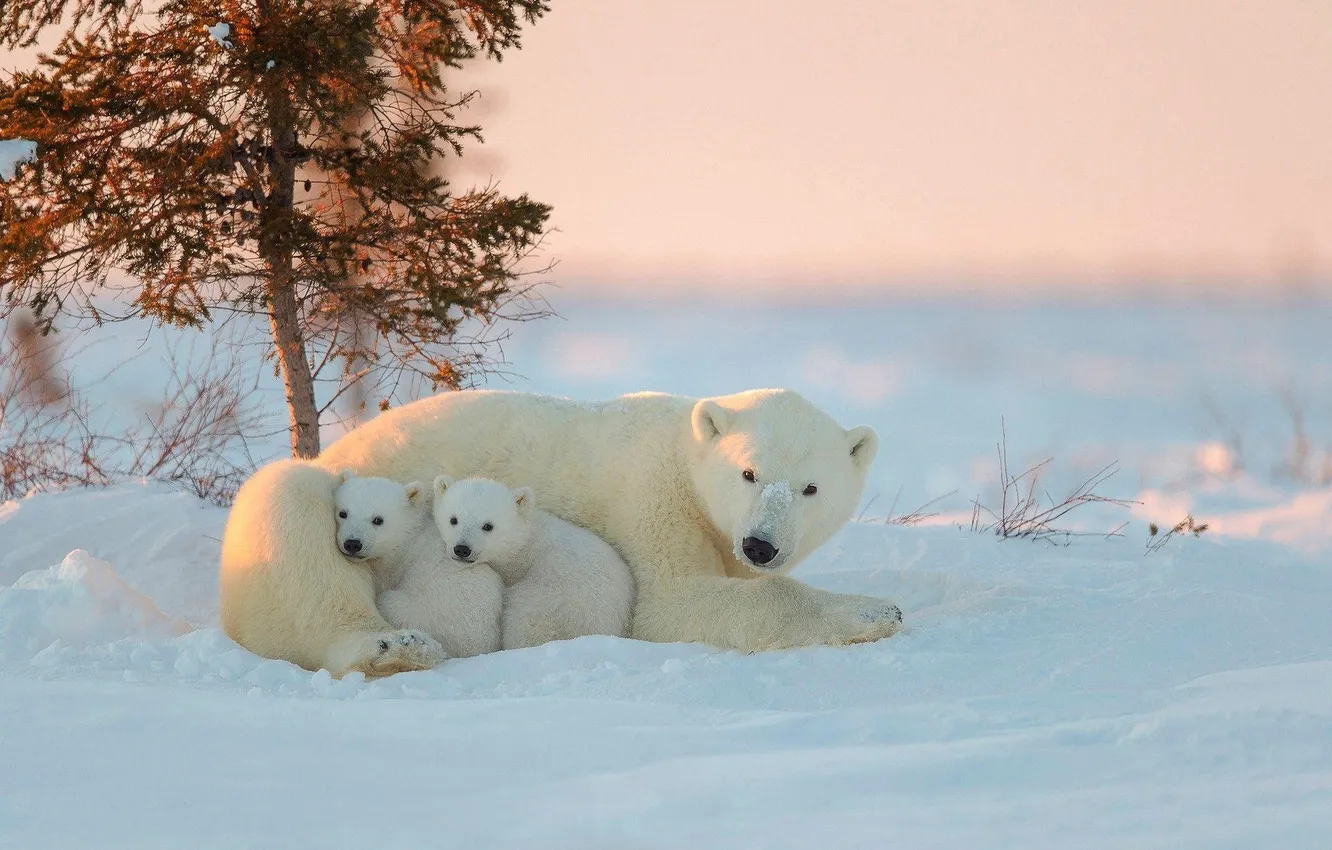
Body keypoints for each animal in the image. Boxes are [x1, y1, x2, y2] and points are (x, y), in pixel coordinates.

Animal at [333, 473, 503, 659]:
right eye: (343, 513)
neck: (406, 538)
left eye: (378, 520)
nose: (352, 543)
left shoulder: (392, 567)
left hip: (424, 616)